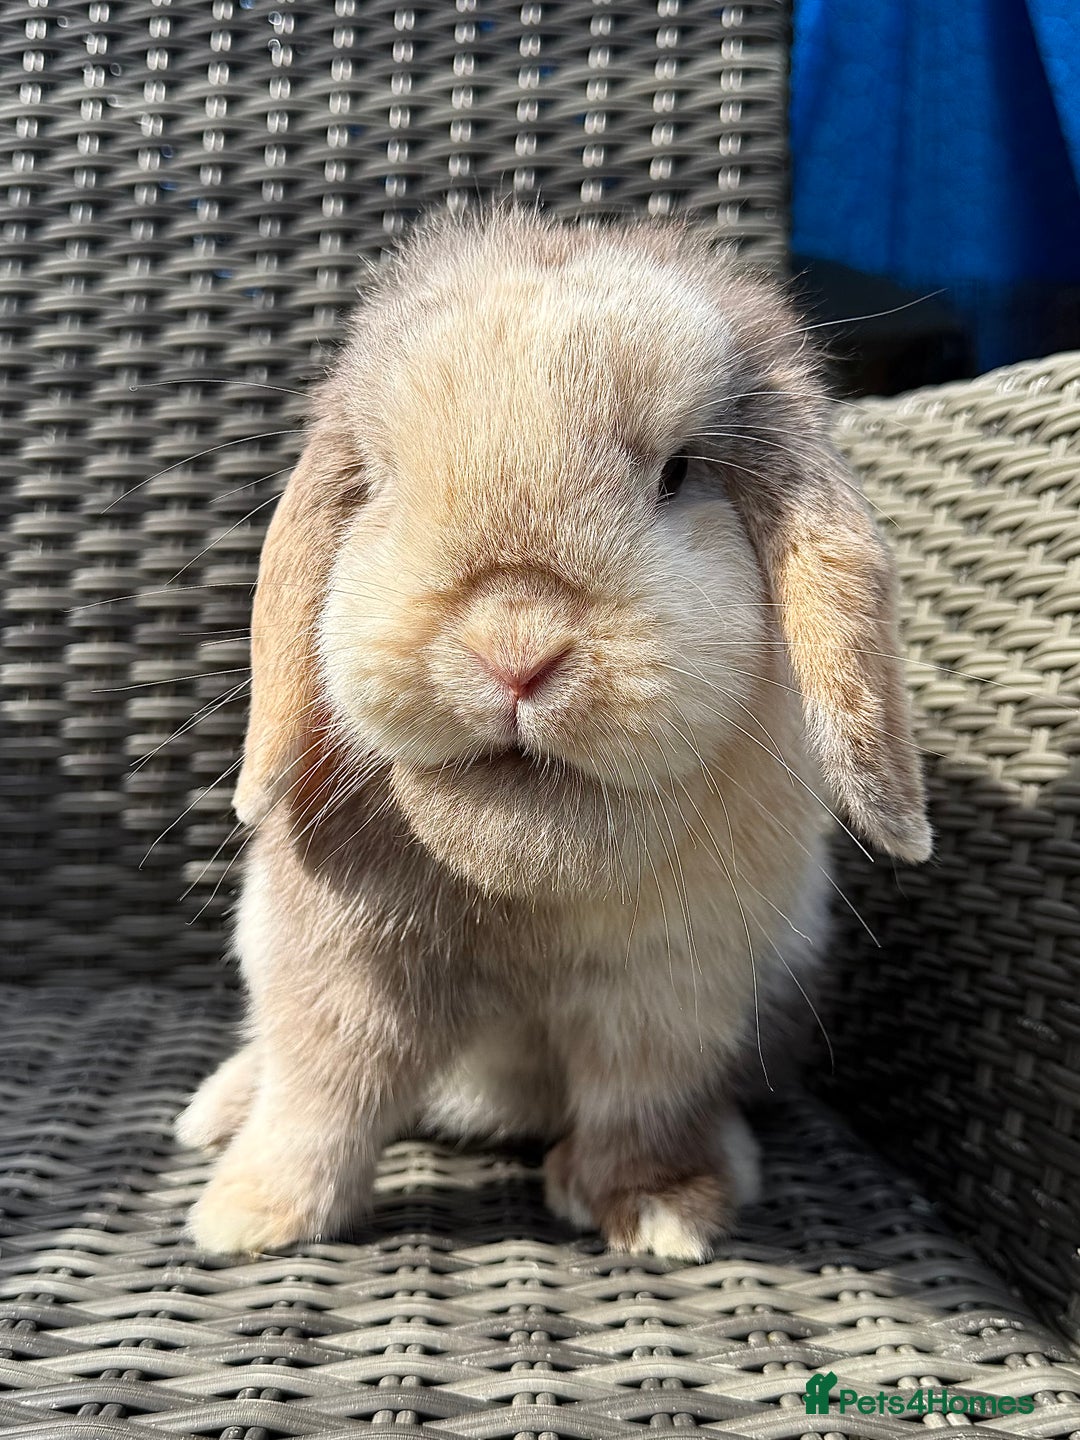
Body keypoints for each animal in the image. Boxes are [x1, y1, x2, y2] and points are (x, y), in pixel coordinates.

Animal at [176, 208, 931, 1260]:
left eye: (679, 473)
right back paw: (216, 1112)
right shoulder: (340, 965)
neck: (527, 886)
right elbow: (325, 1088)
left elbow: (639, 1094)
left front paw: (658, 1207)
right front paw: (251, 1215)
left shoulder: (668, 988)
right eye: (384, 482)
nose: (514, 647)